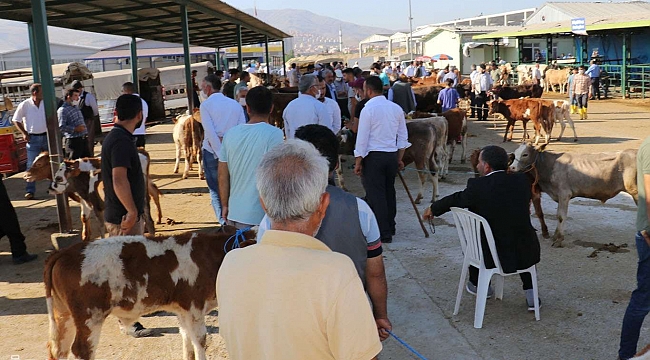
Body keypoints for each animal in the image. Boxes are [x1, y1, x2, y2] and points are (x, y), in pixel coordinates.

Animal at [43, 228, 254, 360]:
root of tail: (64, 252)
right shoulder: (194, 306)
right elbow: (200, 341)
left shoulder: (183, 310)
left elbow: (186, 339)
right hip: (89, 315)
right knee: (81, 349)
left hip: (63, 314)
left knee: (58, 349)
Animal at [508, 142, 636, 246]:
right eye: (515, 153)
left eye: (525, 154)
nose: (512, 167)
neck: (552, 165)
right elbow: (557, 215)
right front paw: (555, 236)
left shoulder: (564, 194)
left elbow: (561, 216)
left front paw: (559, 239)